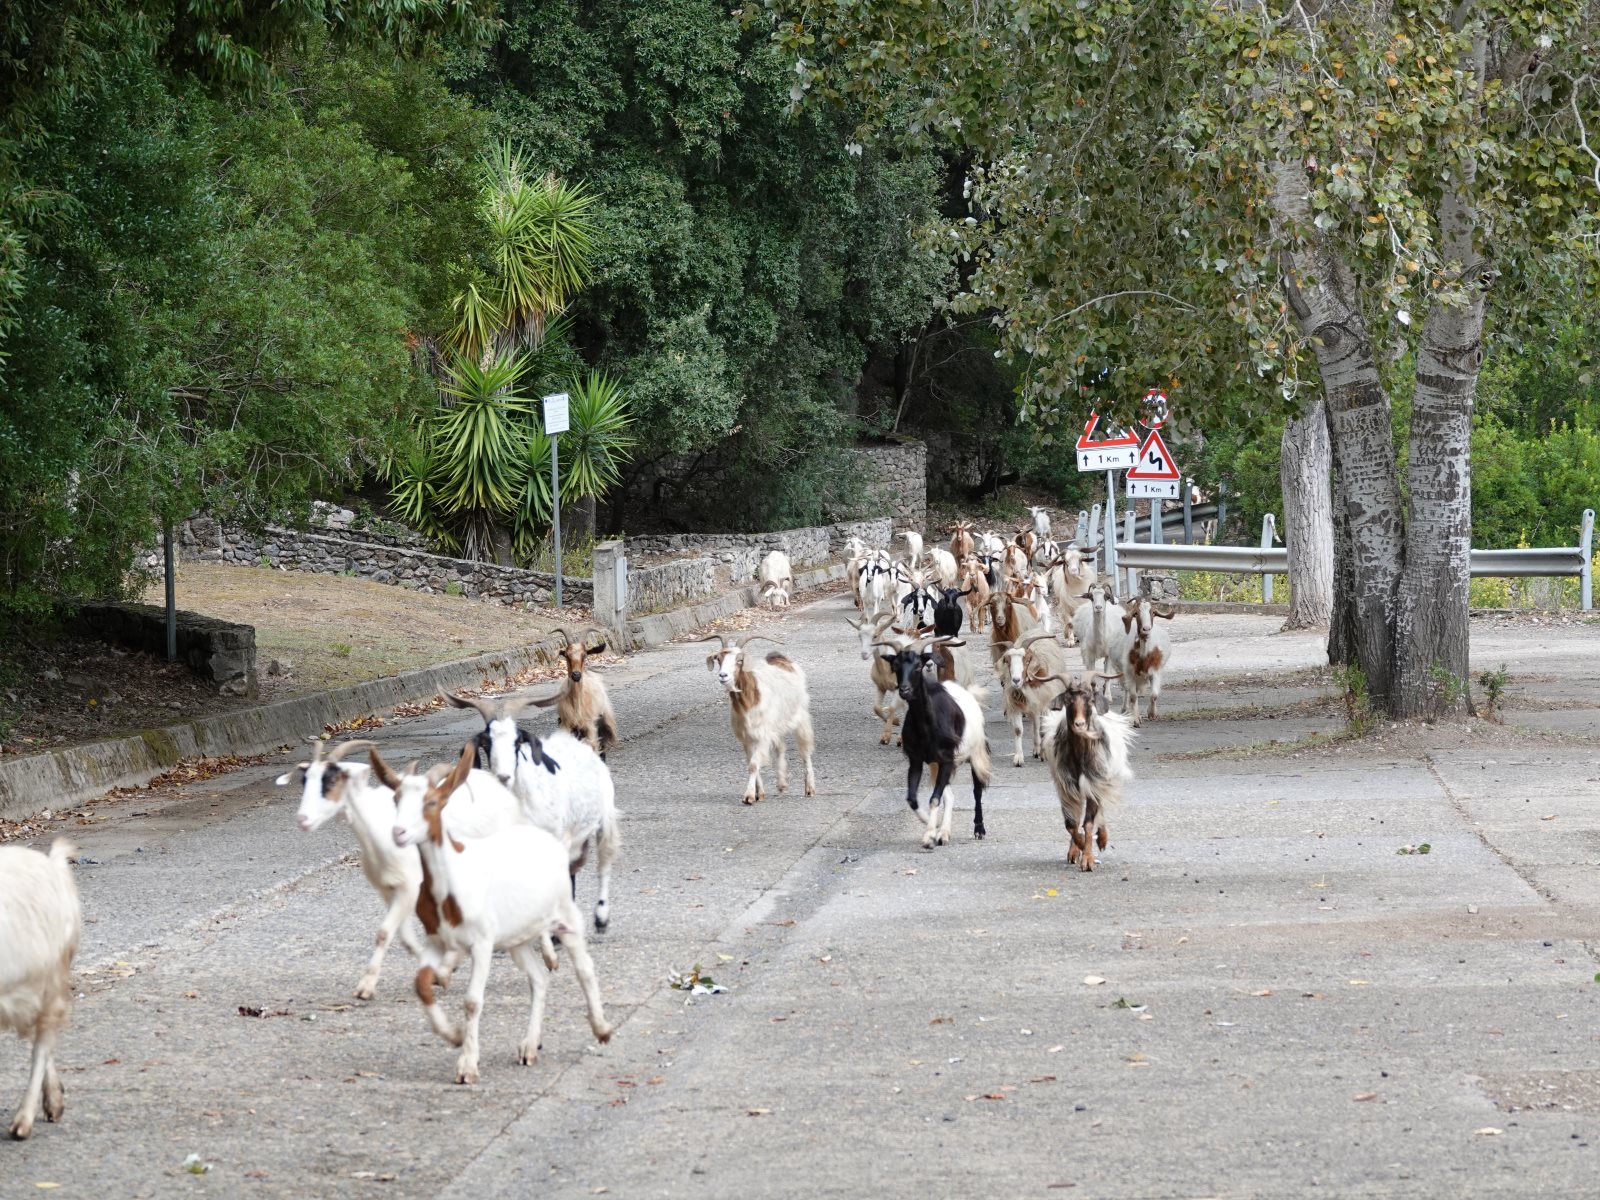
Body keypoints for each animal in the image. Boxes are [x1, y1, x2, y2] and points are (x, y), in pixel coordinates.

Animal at [380, 748, 611, 1088]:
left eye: (431, 802)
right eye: (396, 798)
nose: (398, 833)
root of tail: (547, 839)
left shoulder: (482, 942)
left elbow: (472, 1001)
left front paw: (467, 1066)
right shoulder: (438, 940)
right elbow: (421, 985)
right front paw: (453, 1035)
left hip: (565, 916)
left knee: (585, 969)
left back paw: (601, 1028)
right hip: (518, 937)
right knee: (538, 979)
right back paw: (529, 1046)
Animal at [451, 691, 630, 934]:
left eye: (517, 742)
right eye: (486, 742)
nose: (503, 776)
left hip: (604, 820)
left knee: (602, 864)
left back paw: (600, 918)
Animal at [876, 633, 985, 851]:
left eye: (918, 665)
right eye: (896, 666)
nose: (904, 690)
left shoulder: (947, 760)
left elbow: (935, 798)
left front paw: (929, 837)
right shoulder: (917, 761)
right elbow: (913, 799)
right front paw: (933, 828)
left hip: (974, 752)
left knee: (977, 789)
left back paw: (979, 830)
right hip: (937, 764)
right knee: (948, 795)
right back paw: (944, 832)